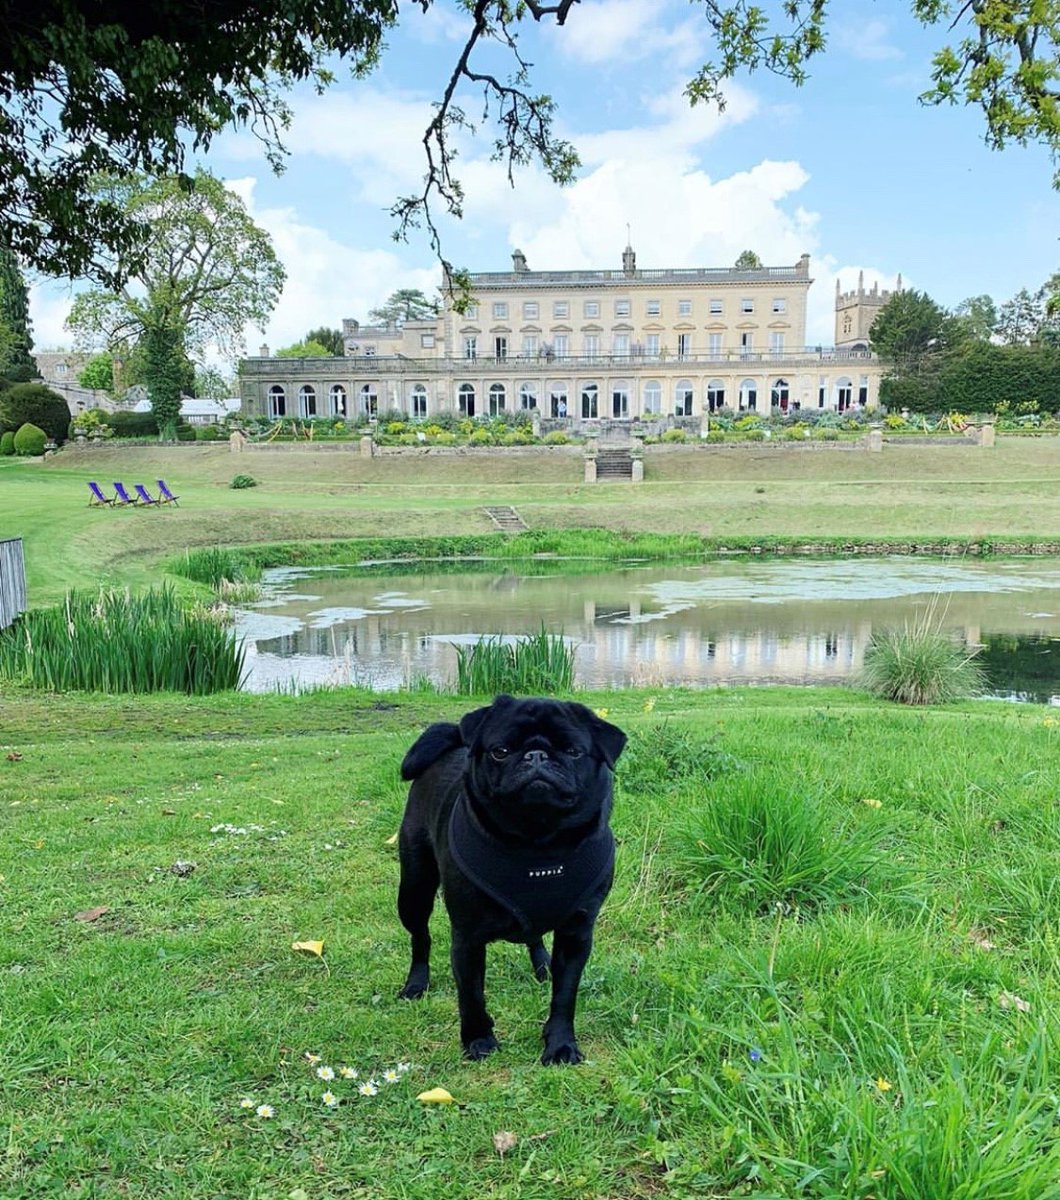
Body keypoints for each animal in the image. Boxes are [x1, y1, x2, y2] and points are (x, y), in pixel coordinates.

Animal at [400, 691, 629, 1065]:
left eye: (573, 751)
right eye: (501, 751)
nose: (536, 755)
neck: (538, 843)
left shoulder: (577, 933)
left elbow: (564, 996)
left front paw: (561, 1045)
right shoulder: (468, 937)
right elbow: (472, 995)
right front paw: (479, 1039)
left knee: (534, 937)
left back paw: (544, 966)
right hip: (413, 890)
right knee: (421, 937)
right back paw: (416, 983)